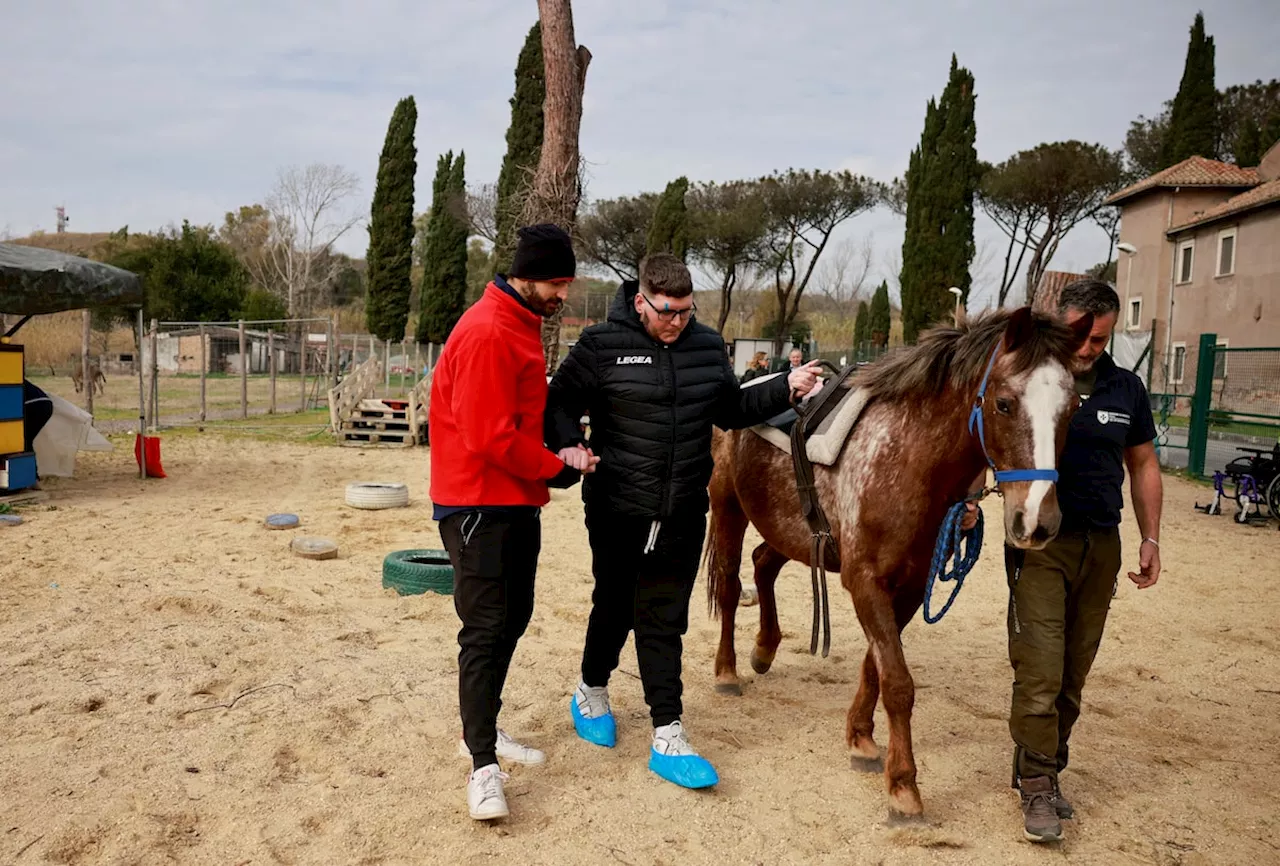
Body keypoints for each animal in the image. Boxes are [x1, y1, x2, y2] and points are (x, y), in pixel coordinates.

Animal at [711, 307, 1090, 818]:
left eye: (1072, 409)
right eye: (1005, 404)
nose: (1037, 520)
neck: (907, 457)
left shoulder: (909, 587)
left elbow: (877, 666)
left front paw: (860, 738)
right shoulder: (865, 581)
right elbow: (897, 681)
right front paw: (904, 786)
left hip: (790, 532)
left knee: (763, 565)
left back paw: (765, 648)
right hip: (727, 506)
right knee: (731, 586)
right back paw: (727, 670)